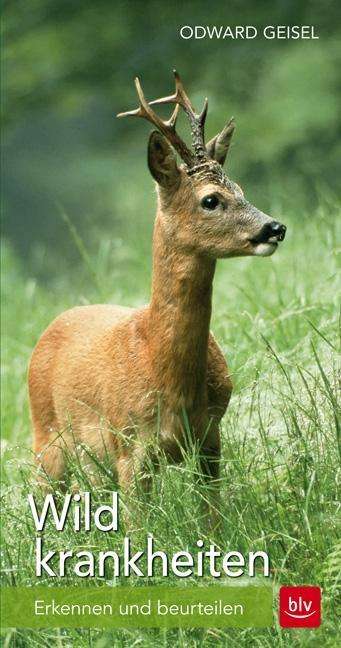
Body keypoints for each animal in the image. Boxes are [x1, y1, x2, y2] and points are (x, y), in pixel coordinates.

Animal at [28, 72, 284, 528]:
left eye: (241, 189)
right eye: (210, 199)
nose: (275, 227)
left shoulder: (210, 437)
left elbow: (212, 517)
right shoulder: (131, 447)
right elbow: (137, 526)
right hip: (48, 440)